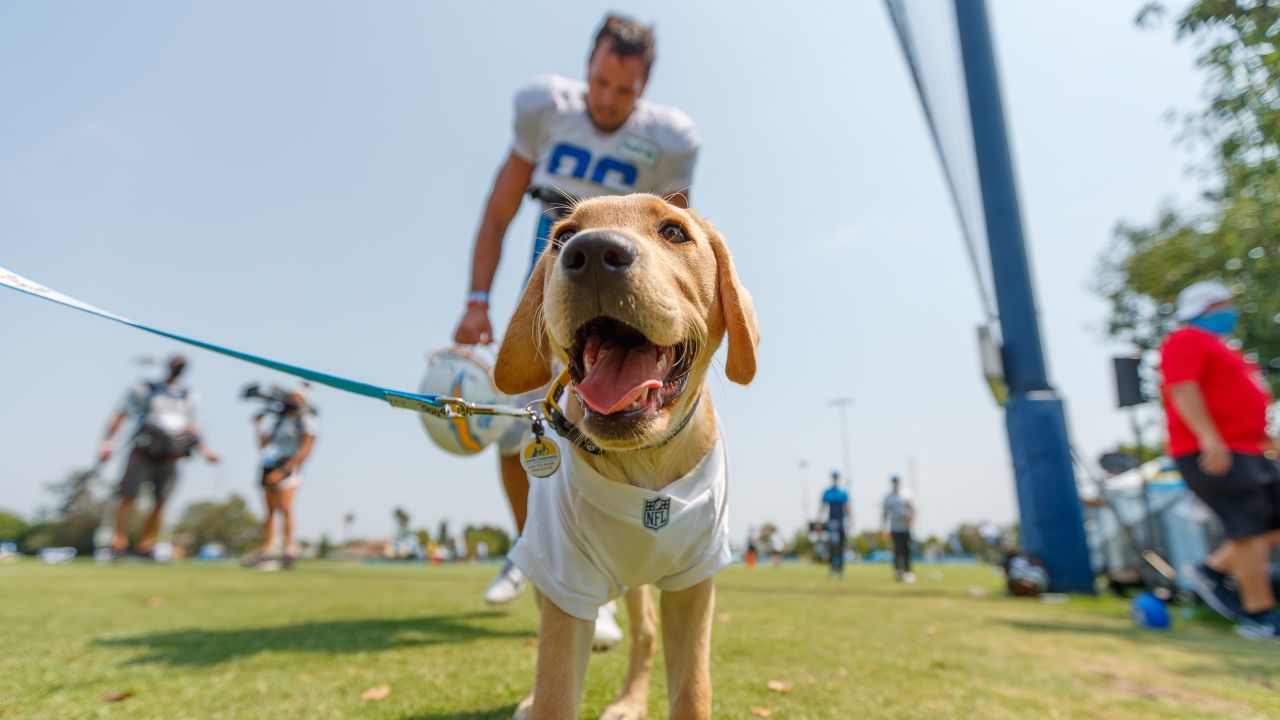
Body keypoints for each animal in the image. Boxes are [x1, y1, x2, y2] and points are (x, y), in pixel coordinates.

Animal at [491, 192, 752, 717]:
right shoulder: (563, 581)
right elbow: (554, 692)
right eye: (564, 236)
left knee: (646, 632)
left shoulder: (695, 581)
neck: (643, 459)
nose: (591, 252)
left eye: (674, 232)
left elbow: (693, 692)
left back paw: (630, 702)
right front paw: (541, 698)